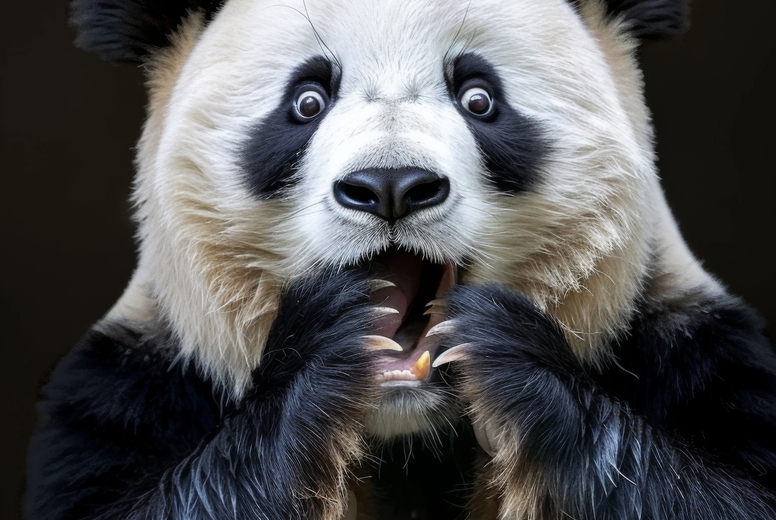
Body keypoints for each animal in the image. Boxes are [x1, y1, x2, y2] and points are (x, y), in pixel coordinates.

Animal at [24, 0, 776, 518]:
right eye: (307, 100)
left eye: (479, 97)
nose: (391, 186)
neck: (408, 432)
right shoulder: (131, 384)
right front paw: (327, 345)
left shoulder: (688, 344)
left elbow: (719, 493)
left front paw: (504, 348)